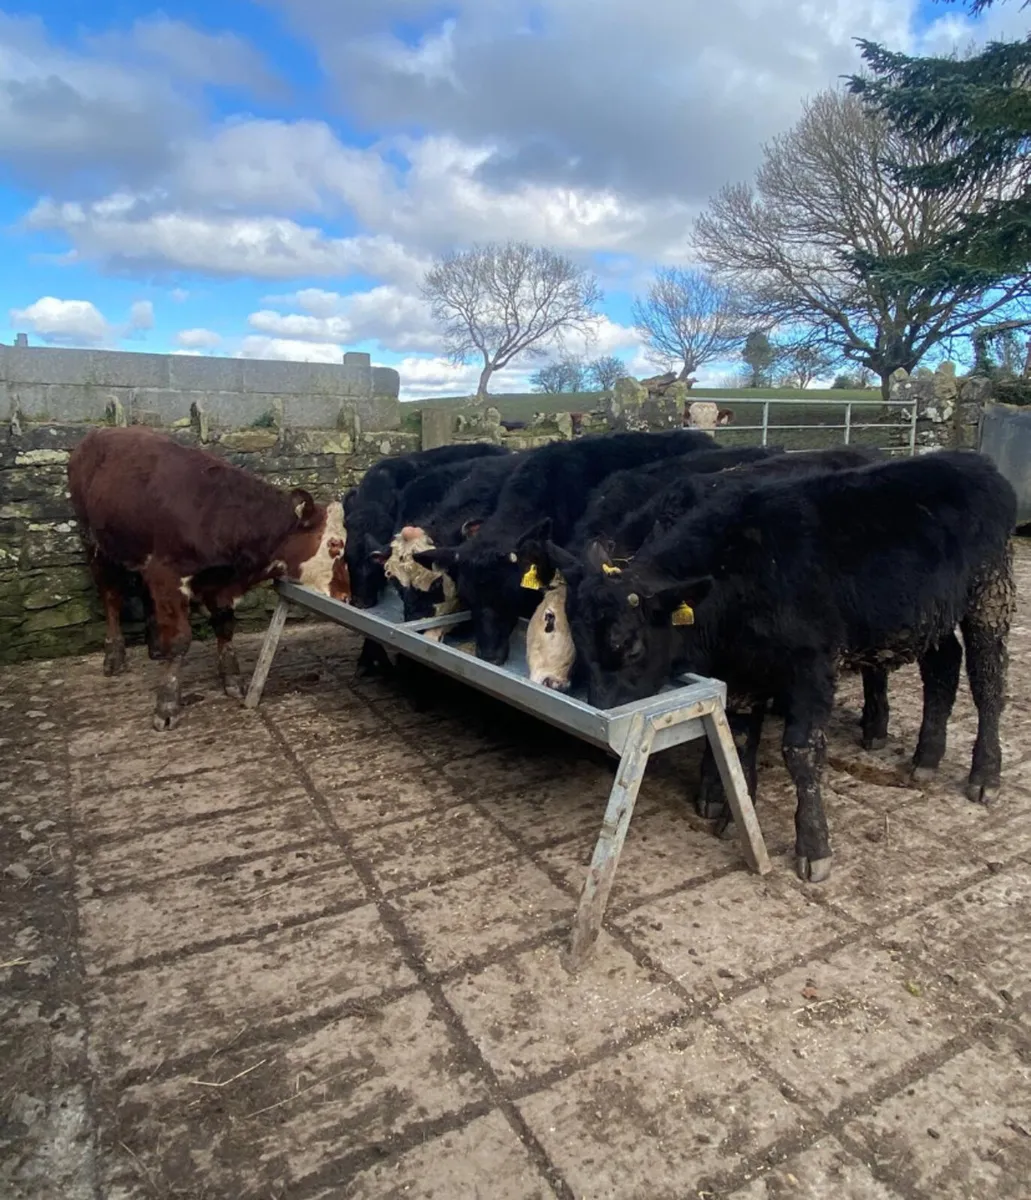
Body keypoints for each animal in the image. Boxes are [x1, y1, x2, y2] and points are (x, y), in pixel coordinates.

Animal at [68, 426, 346, 731]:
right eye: (334, 544)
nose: (346, 595)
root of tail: (99, 432)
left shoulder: (218, 582)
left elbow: (224, 628)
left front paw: (232, 679)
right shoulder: (168, 575)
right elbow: (180, 639)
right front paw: (167, 703)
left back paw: (155, 645)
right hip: (92, 542)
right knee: (111, 598)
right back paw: (114, 655)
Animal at [545, 450, 1016, 882]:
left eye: (632, 647)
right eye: (577, 640)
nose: (600, 715)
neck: (741, 573)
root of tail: (973, 461)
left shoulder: (812, 666)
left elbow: (802, 751)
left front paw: (813, 846)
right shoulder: (741, 673)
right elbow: (737, 741)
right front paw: (734, 813)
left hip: (989, 592)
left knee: (987, 679)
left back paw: (984, 774)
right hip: (928, 615)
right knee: (943, 665)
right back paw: (927, 756)